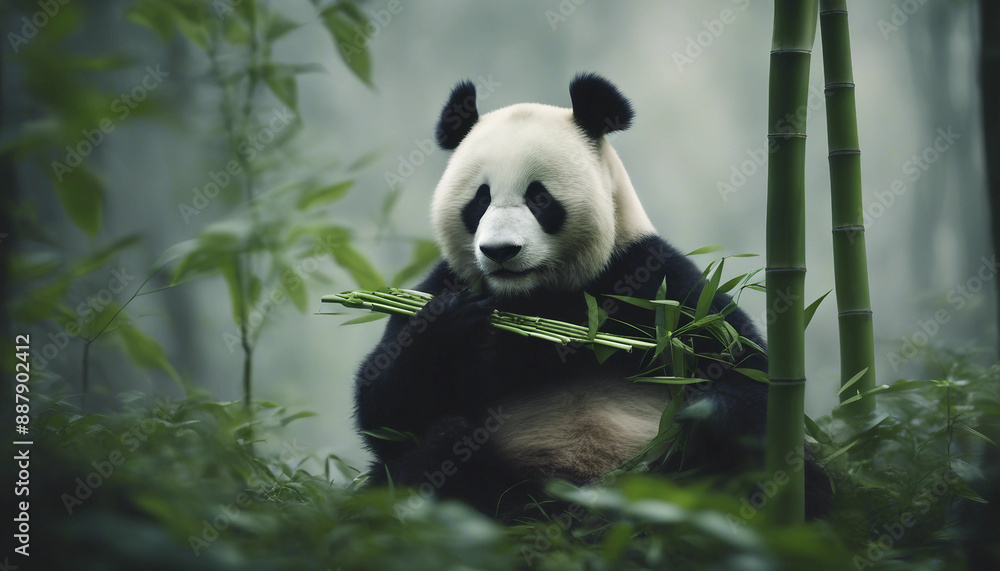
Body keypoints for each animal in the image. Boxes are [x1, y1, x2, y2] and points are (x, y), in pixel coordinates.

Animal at [354, 73, 828, 518]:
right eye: (480, 200)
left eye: (539, 198)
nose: (500, 252)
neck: (541, 297)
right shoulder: (446, 282)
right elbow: (385, 409)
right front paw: (451, 323)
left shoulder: (657, 283)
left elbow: (749, 375)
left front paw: (703, 410)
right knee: (435, 451)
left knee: (790, 473)